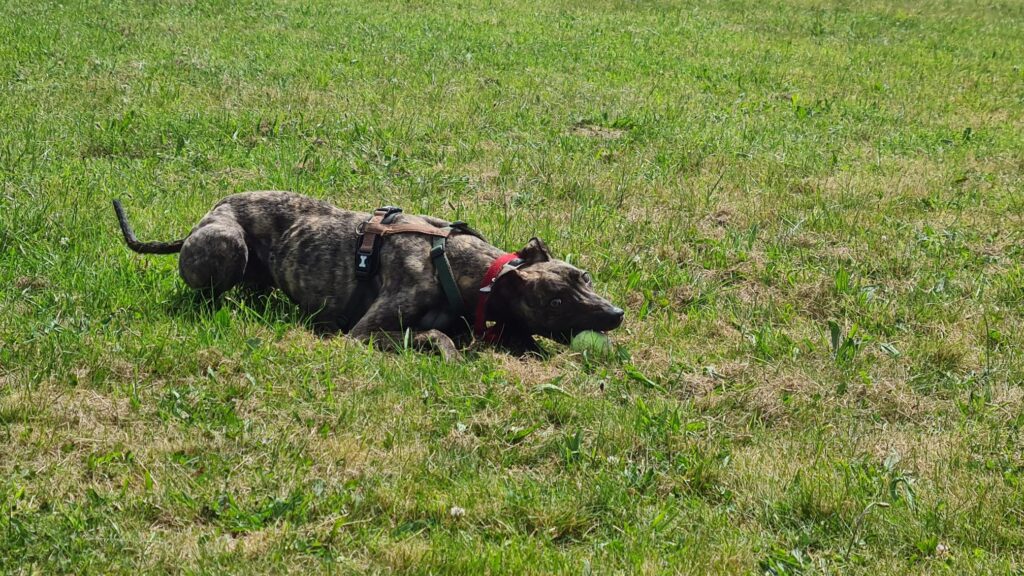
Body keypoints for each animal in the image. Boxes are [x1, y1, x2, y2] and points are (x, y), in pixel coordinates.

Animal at [112, 190, 622, 354]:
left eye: (585, 277)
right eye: (556, 300)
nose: (615, 315)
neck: (456, 263)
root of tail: (206, 214)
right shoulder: (364, 332)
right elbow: (435, 334)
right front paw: (448, 350)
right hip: (225, 243)